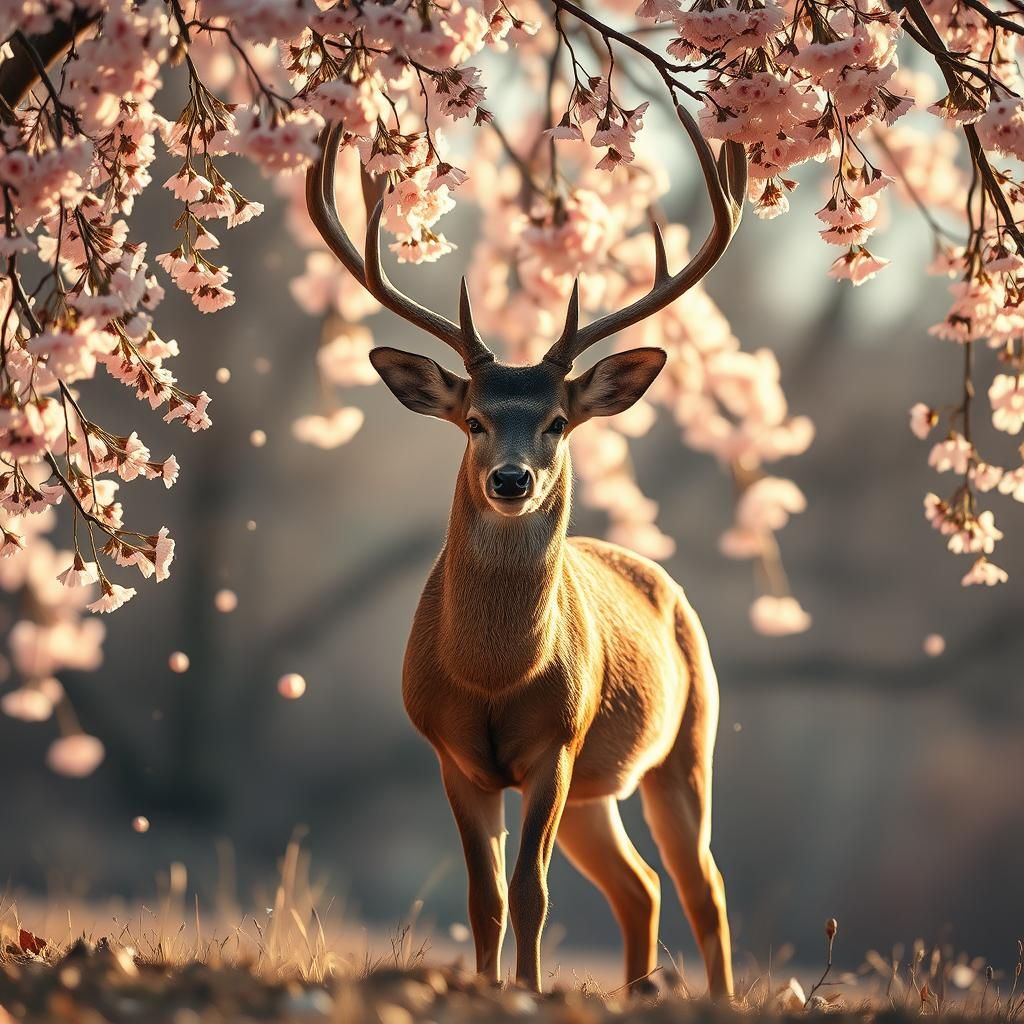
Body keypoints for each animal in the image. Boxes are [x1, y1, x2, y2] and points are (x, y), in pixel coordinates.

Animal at [306, 113, 746, 999]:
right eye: (474, 419)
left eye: (557, 422)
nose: (512, 478)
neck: (494, 677)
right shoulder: (450, 752)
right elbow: (487, 896)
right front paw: (486, 985)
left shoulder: (558, 742)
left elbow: (532, 891)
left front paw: (531, 991)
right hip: (598, 793)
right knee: (642, 887)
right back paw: (636, 988)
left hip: (686, 744)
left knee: (703, 886)